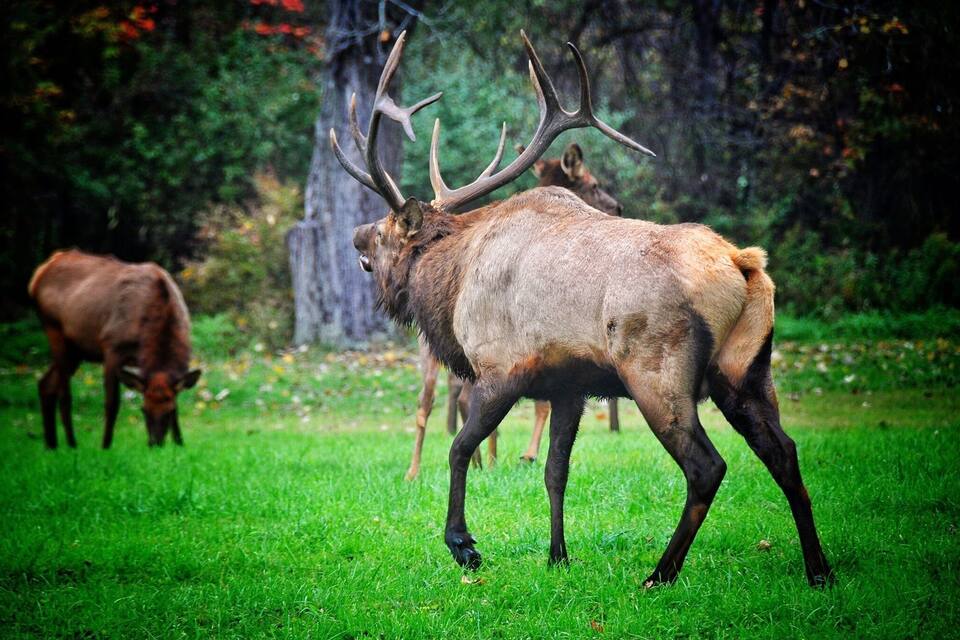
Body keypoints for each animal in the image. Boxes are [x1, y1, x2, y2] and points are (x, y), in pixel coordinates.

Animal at [28, 250, 201, 449]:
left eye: (170, 411)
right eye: (143, 409)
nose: (155, 443)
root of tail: (38, 274)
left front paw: (180, 443)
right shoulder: (111, 348)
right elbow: (112, 403)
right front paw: (105, 445)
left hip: (77, 349)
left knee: (46, 384)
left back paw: (52, 445)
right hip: (54, 330)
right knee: (64, 395)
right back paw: (71, 444)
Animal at [407, 142, 624, 481]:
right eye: (592, 183)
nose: (617, 207)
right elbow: (542, 404)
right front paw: (528, 454)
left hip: (431, 350)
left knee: (426, 401)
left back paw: (419, 470)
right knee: (461, 398)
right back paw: (487, 460)